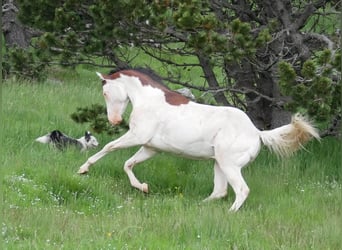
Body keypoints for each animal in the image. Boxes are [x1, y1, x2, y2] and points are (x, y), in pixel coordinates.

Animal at [76, 69, 320, 212]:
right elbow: (128, 164)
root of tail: (257, 133)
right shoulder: (151, 148)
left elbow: (109, 147)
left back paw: (229, 214)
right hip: (219, 163)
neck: (150, 100)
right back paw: (197, 206)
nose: (115, 120)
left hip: (229, 165)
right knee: (220, 191)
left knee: (241, 190)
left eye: (105, 93)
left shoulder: (138, 136)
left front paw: (83, 169)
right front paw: (143, 188)